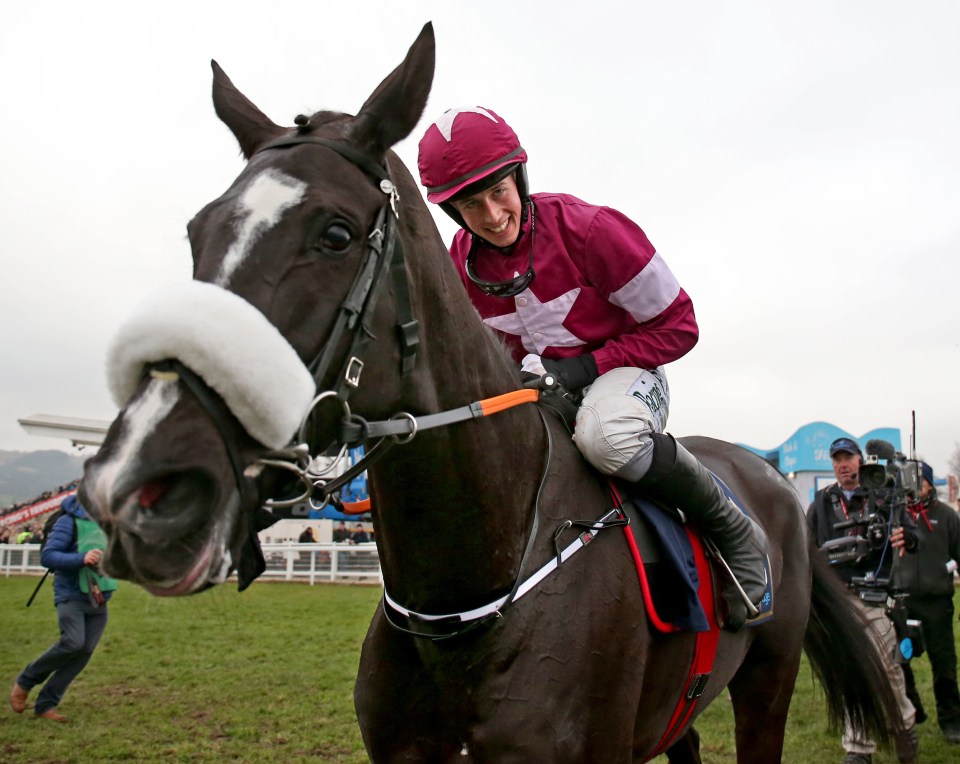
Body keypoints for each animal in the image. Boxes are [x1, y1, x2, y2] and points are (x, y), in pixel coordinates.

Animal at [80, 20, 900, 760]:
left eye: (336, 234)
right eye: (198, 230)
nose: (135, 490)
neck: (462, 604)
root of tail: (767, 473)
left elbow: (672, 318)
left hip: (768, 678)